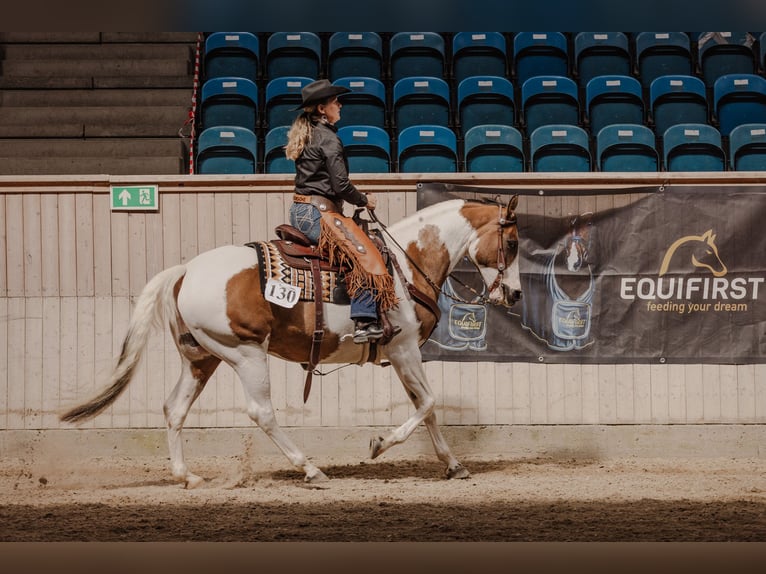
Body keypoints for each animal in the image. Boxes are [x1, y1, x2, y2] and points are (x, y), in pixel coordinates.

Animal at [60, 195, 522, 487]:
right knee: (261, 412)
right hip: (245, 354)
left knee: (174, 409)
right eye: (514, 242)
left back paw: (186, 476)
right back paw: (310, 469)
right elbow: (427, 404)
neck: (406, 266)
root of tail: (186, 269)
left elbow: (427, 410)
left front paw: (454, 465)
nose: (515, 294)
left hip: (202, 358)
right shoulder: (403, 347)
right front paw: (379, 445)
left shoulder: (403, 354)